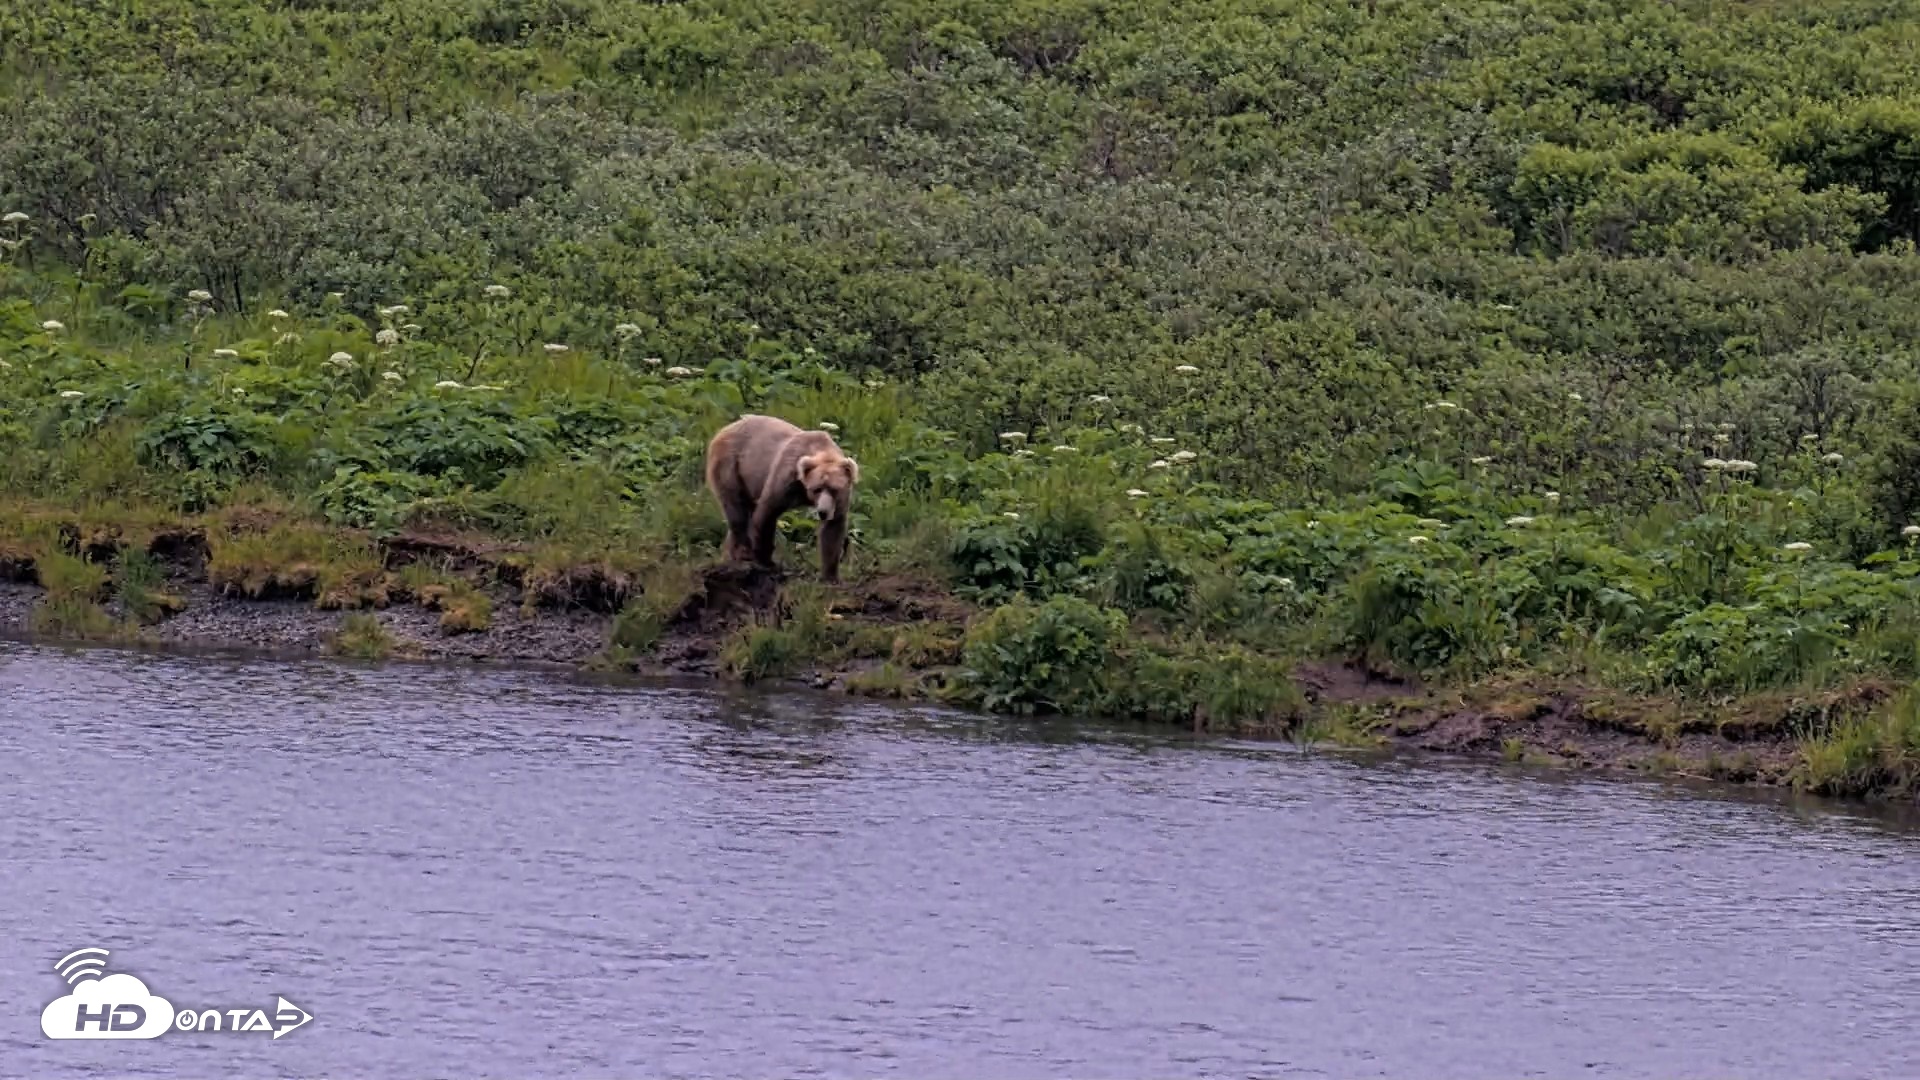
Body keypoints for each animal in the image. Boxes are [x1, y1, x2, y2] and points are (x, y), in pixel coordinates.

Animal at [704, 414, 861, 583]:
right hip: (730, 465)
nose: (823, 512)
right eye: (816, 489)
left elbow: (833, 530)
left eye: (834, 489)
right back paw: (743, 553)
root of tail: (724, 429)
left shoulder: (840, 500)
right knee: (737, 510)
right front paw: (766, 561)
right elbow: (767, 511)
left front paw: (830, 576)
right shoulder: (786, 477)